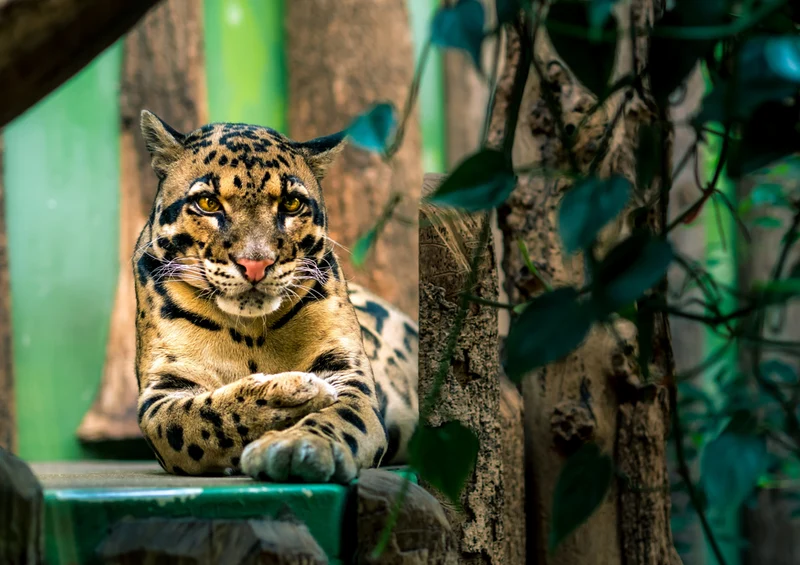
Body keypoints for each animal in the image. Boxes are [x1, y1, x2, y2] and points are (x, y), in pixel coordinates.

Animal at [134, 110, 418, 483]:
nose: (256, 264)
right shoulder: (162, 391)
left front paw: (300, 445)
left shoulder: (346, 371)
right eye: (208, 203)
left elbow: (342, 416)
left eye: (291, 204)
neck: (250, 333)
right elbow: (204, 417)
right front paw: (290, 394)